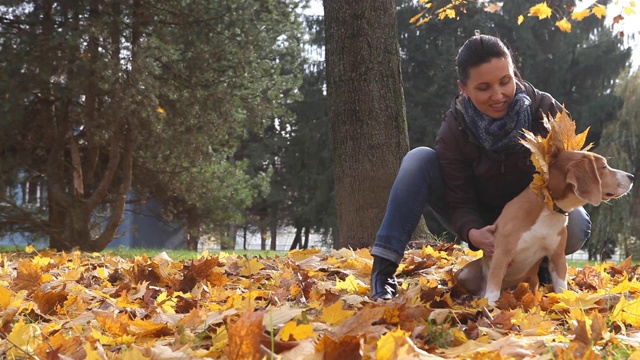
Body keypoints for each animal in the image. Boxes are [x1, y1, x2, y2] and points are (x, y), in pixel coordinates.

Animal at [458, 150, 632, 306]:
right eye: (604, 166)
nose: (631, 177)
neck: (550, 208)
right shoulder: (502, 253)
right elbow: (493, 286)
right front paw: (491, 309)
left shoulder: (557, 256)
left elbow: (561, 285)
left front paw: (564, 304)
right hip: (465, 273)